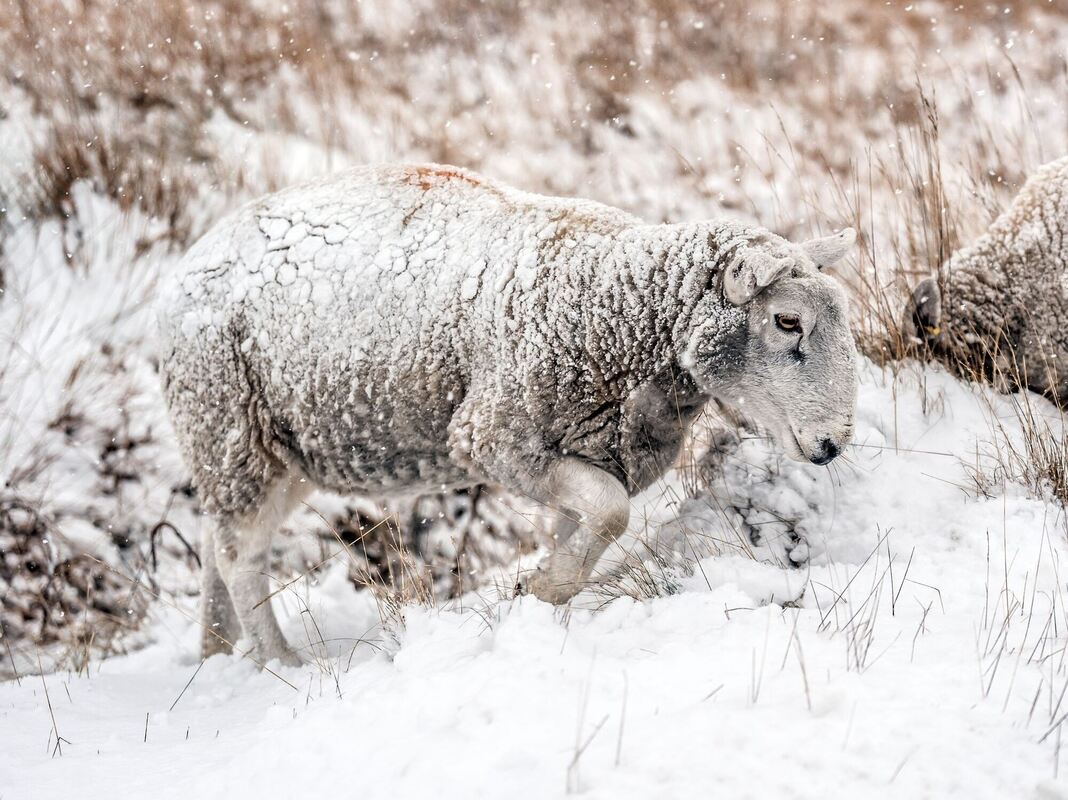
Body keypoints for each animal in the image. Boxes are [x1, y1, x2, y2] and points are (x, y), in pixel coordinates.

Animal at [158, 162, 858, 662]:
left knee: (215, 544)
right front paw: (545, 587)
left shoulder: (596, 452)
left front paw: (547, 591)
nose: (834, 443)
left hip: (272, 451)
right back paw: (282, 663)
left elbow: (586, 524)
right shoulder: (495, 441)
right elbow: (611, 511)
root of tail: (186, 264)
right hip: (229, 427)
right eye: (786, 321)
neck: (614, 305)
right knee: (240, 558)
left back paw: (217, 653)